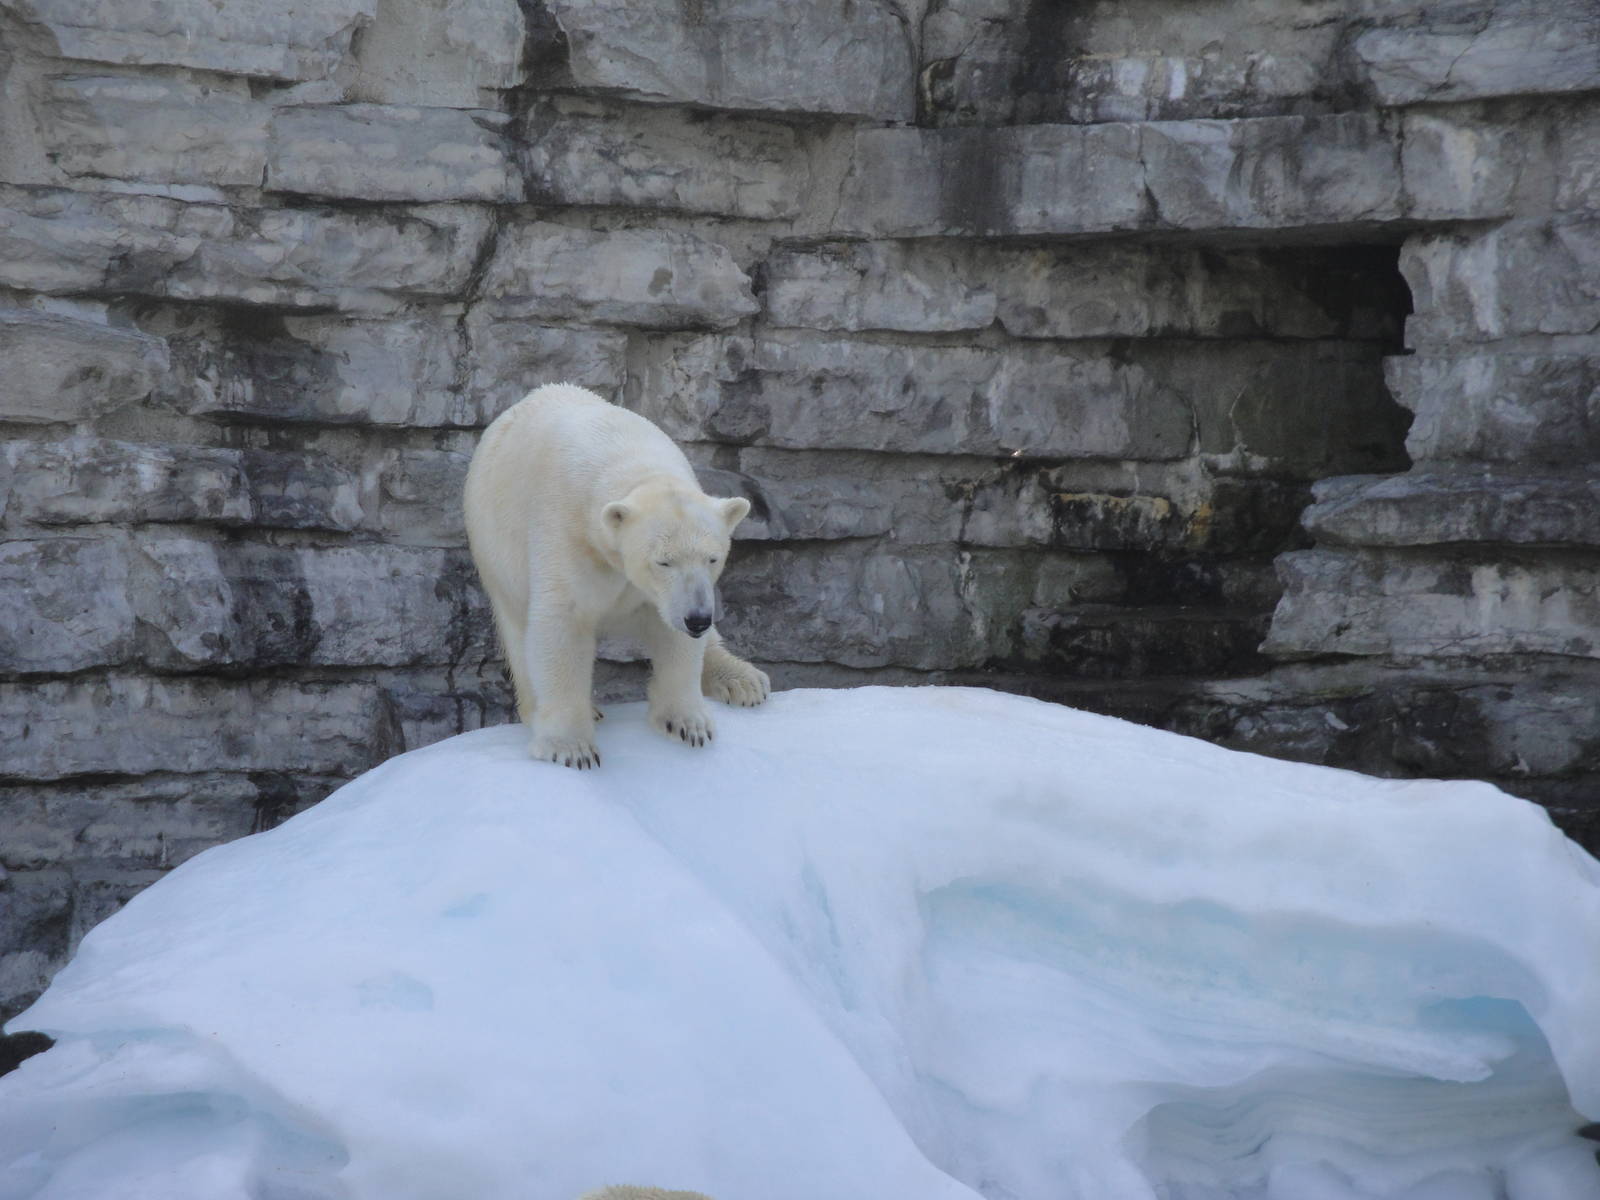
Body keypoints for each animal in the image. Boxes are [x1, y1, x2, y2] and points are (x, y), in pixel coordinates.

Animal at [464, 383, 770, 769]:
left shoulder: (669, 594)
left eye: (713, 559)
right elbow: (562, 624)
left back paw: (742, 680)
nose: (697, 618)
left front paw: (688, 724)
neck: (626, 458)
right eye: (663, 561)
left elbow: (674, 634)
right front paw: (571, 747)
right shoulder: (566, 534)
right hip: (497, 554)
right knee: (519, 633)